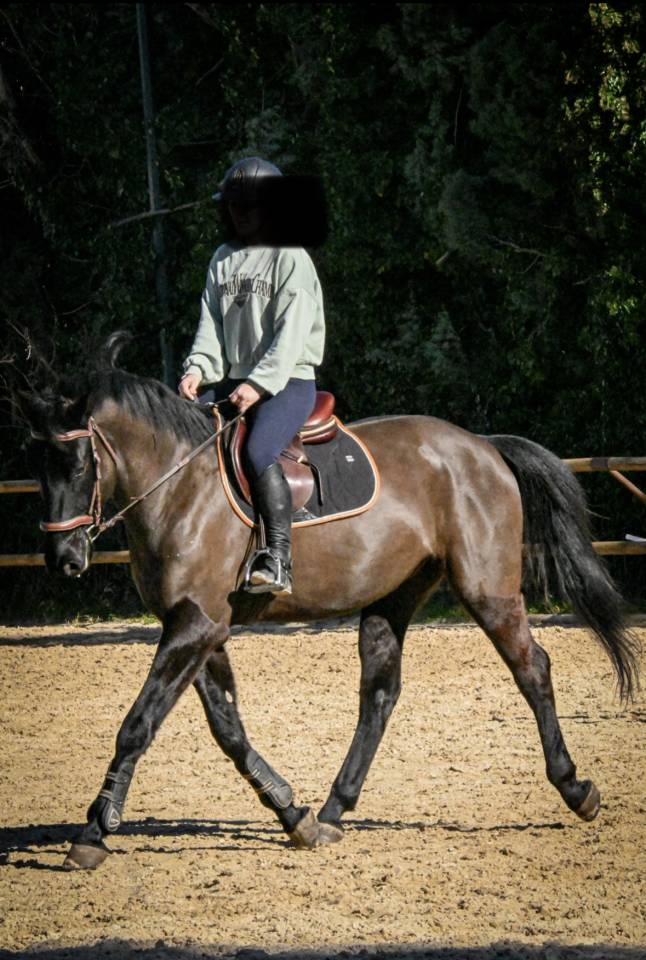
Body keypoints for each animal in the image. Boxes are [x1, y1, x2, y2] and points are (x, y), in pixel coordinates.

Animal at [18, 336, 639, 870]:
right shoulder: (197, 627)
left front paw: (93, 833)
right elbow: (228, 728)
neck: (179, 488)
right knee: (381, 694)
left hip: (487, 590)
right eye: (36, 468)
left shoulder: (195, 626)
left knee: (532, 668)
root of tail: (483, 447)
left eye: (79, 465)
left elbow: (137, 724)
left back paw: (576, 788)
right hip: (394, 596)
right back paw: (335, 808)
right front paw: (294, 815)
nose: (63, 558)